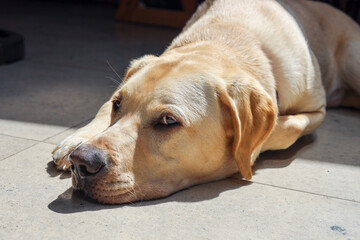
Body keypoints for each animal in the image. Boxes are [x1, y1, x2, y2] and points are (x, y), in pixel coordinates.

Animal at [51, 0, 360, 204]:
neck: (226, 38)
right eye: (118, 104)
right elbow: (102, 108)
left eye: (168, 121)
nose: (82, 163)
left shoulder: (315, 111)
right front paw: (75, 140)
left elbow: (281, 130)